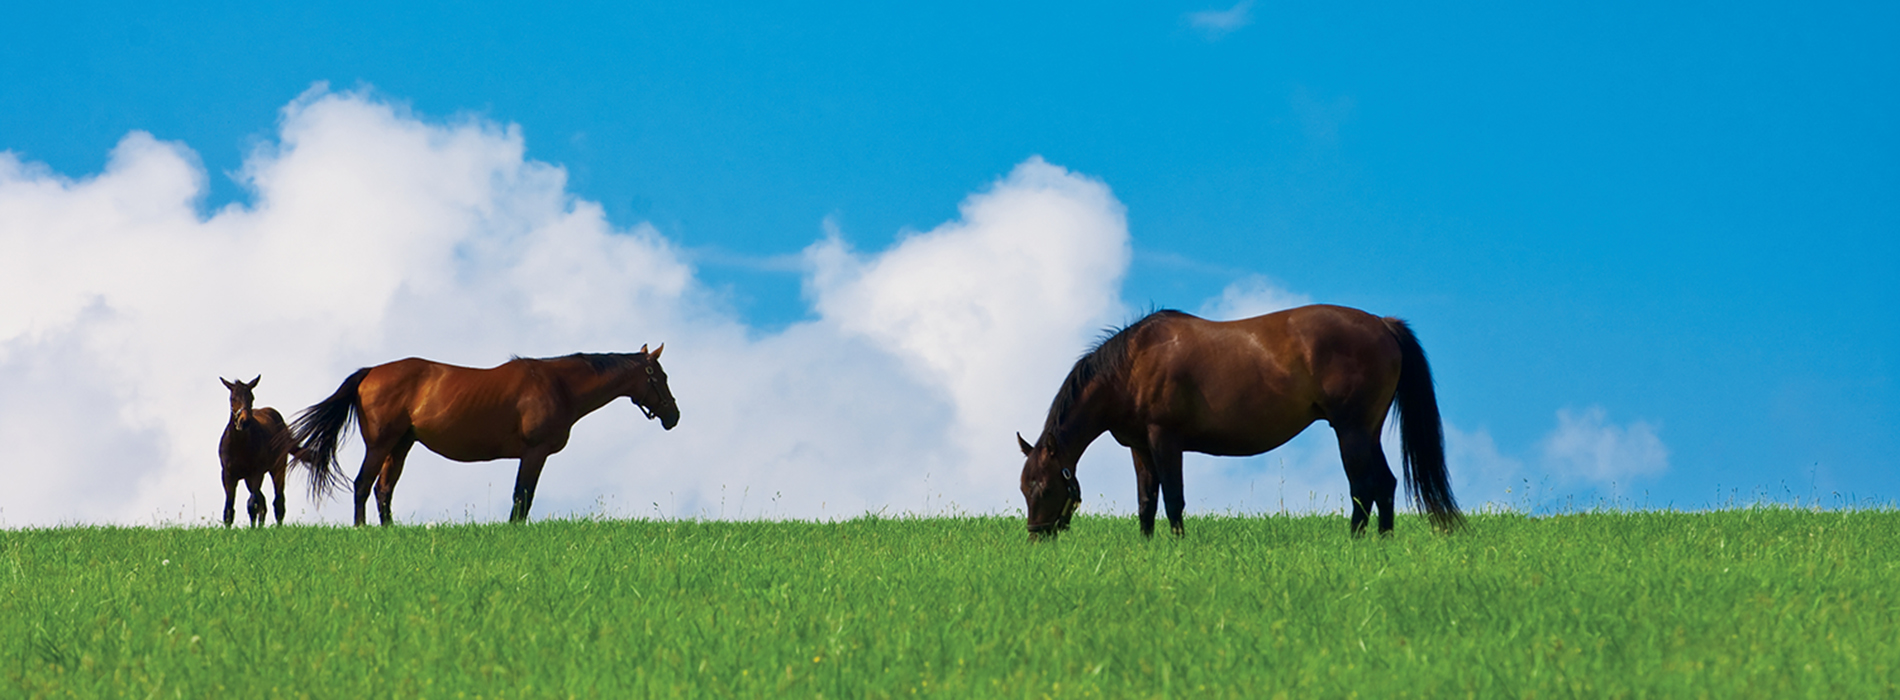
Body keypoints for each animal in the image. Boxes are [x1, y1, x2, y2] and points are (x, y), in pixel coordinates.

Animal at [218, 376, 301, 527]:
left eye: (251, 397)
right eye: (233, 398)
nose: (244, 422)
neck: (238, 445)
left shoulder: (256, 472)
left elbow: (252, 504)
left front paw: (252, 529)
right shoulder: (228, 475)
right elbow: (229, 509)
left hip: (278, 468)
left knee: (277, 501)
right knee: (263, 501)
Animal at [291, 345, 679, 526]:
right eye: (660, 376)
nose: (673, 416)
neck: (559, 385)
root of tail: (370, 372)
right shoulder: (534, 453)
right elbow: (523, 496)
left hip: (401, 446)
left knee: (383, 489)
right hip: (380, 444)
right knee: (362, 484)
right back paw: (363, 529)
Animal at [1018, 305, 1461, 539]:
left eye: (1045, 486)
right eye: (1024, 488)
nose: (1037, 536)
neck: (1132, 366)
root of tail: (1383, 323)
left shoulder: (1165, 440)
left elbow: (1173, 499)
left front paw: (1177, 548)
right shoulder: (1141, 448)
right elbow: (1146, 503)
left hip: (1351, 431)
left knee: (1362, 488)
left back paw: (1355, 543)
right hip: (1368, 432)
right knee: (1385, 485)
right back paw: (1382, 543)